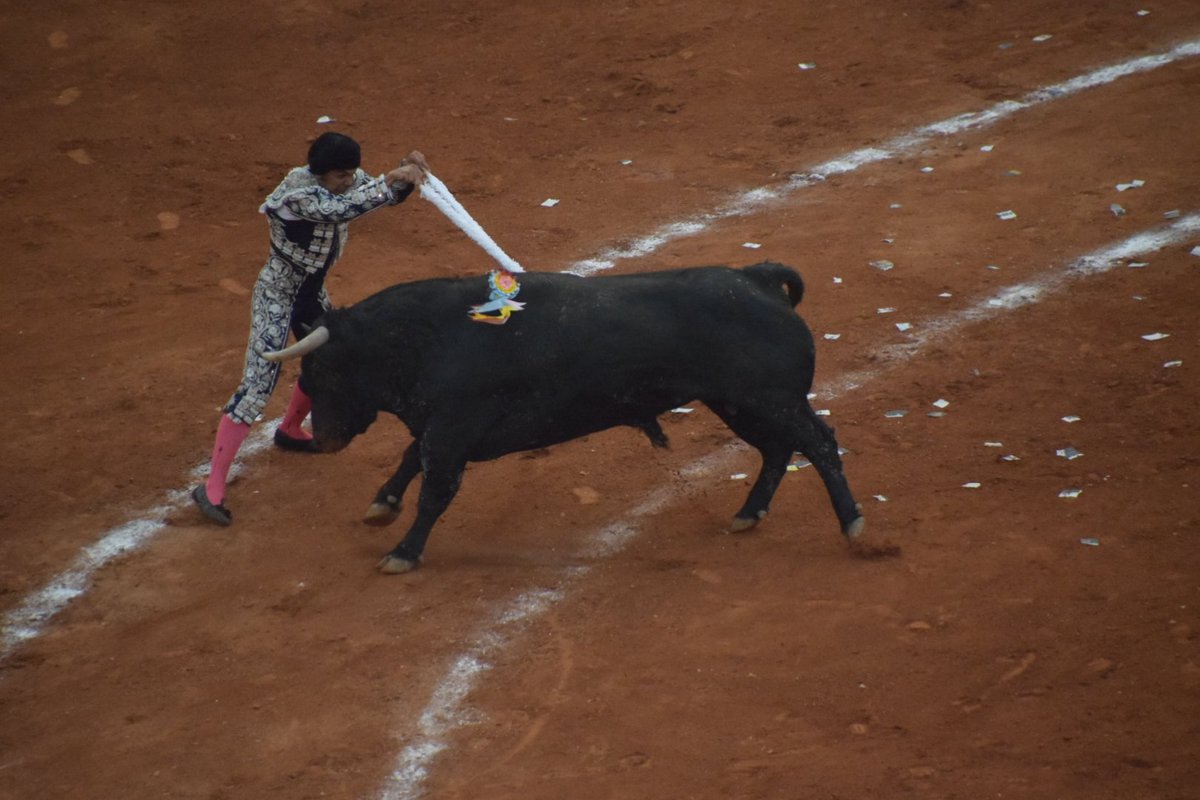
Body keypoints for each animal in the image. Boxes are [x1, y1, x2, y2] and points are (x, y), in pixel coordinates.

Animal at [265, 260, 864, 573]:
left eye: (322, 372)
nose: (323, 440)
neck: (427, 339)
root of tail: (756, 277)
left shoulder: (451, 432)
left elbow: (434, 490)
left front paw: (403, 553)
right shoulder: (442, 429)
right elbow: (411, 460)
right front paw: (381, 506)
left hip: (772, 398)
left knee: (818, 443)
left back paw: (854, 527)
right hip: (740, 403)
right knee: (778, 449)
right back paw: (747, 514)